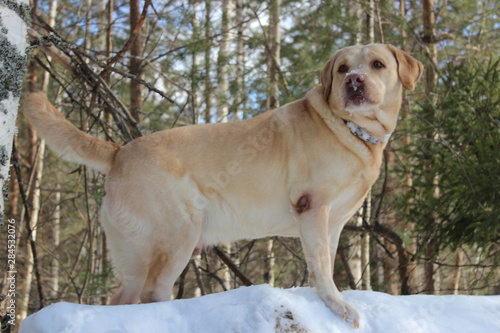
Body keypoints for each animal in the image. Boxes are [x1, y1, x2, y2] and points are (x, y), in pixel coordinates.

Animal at [23, 42, 422, 326]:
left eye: (377, 64)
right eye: (342, 68)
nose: (354, 80)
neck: (349, 128)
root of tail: (119, 151)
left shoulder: (332, 222)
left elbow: (320, 261)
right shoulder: (312, 206)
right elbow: (323, 266)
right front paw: (337, 305)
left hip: (134, 254)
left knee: (124, 300)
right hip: (178, 234)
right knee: (153, 292)